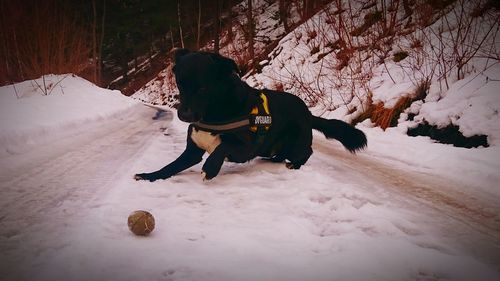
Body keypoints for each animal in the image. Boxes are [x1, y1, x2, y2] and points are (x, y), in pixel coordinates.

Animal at [135, 49, 366, 180]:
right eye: (180, 85)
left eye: (202, 88)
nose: (183, 115)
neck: (214, 113)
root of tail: (308, 112)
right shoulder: (192, 151)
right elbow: (171, 166)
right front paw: (149, 176)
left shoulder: (245, 149)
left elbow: (222, 147)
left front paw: (210, 168)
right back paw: (275, 160)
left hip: (296, 141)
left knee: (307, 151)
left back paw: (294, 164)